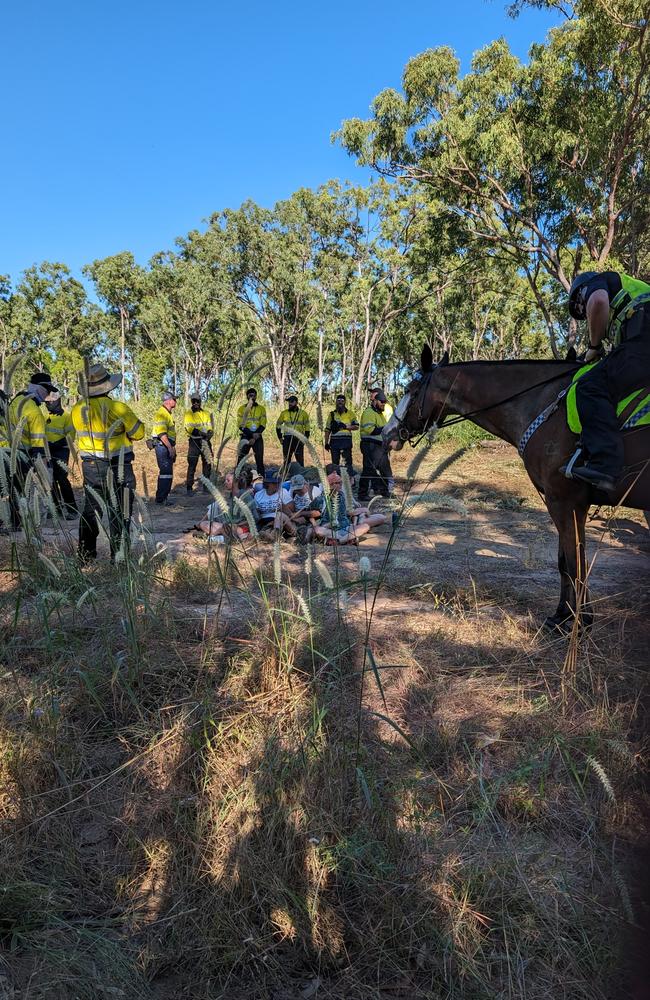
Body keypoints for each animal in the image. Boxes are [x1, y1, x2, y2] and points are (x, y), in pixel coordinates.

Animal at [382, 344, 644, 624]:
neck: (544, 406)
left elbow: (575, 564)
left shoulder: (566, 501)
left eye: (411, 390)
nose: (387, 433)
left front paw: (579, 621)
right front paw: (562, 616)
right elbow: (566, 561)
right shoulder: (562, 502)